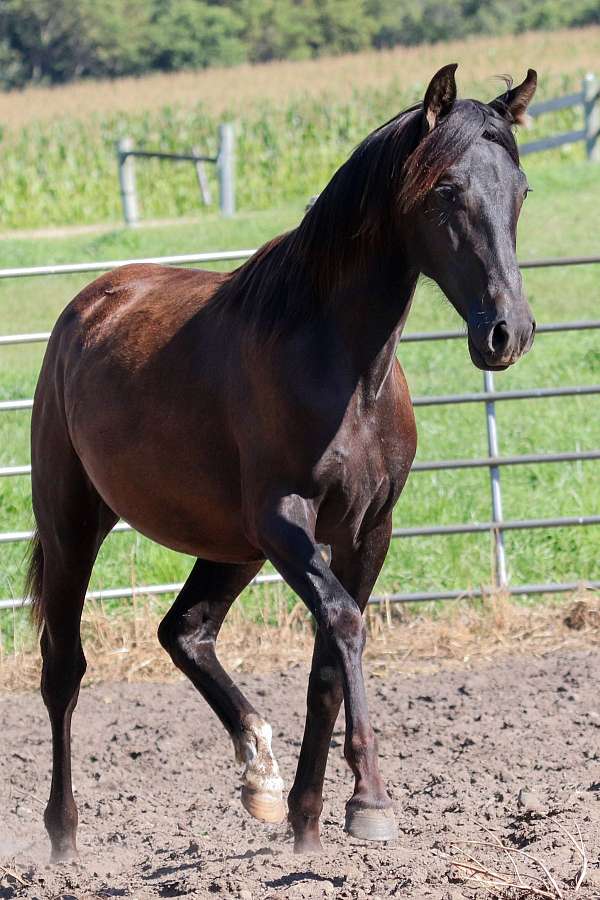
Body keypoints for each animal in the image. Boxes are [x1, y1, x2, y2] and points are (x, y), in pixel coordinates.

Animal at [27, 67, 540, 860]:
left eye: (520, 189)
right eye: (447, 189)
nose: (506, 332)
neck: (340, 364)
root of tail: (90, 303)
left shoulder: (367, 530)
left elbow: (328, 660)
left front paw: (307, 821)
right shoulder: (284, 521)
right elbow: (346, 625)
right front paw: (370, 802)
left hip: (229, 547)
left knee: (185, 631)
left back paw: (258, 772)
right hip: (73, 525)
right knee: (64, 668)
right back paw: (63, 837)